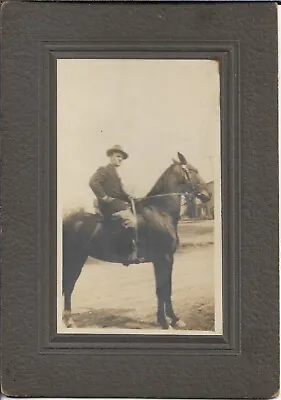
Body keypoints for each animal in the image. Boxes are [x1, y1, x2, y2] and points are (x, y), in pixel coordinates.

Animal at [61, 152, 210, 330]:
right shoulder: (164, 258)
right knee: (69, 286)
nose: (207, 194)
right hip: (74, 259)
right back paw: (69, 320)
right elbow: (163, 290)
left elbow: (164, 289)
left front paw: (169, 319)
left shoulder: (164, 260)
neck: (160, 211)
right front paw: (167, 321)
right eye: (193, 170)